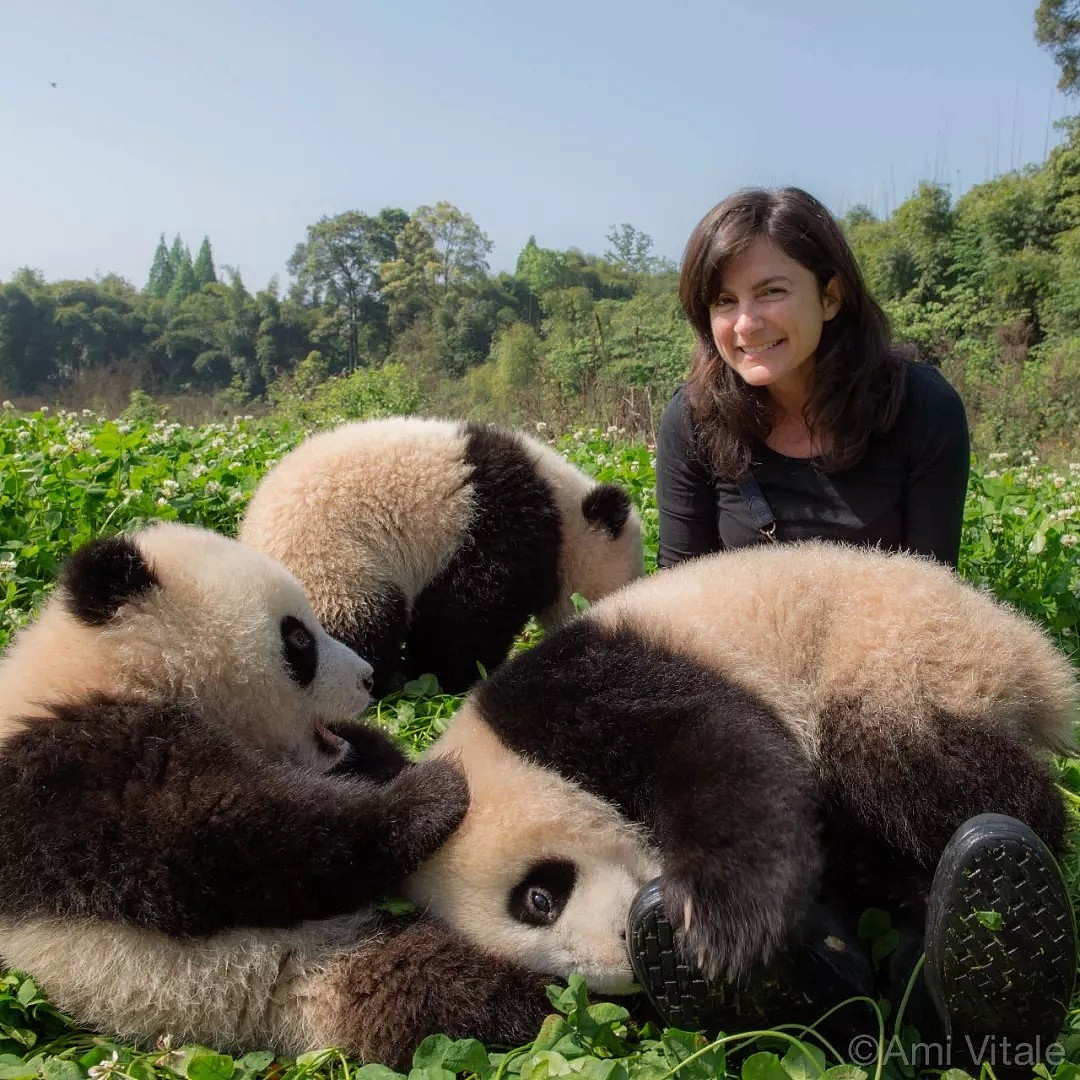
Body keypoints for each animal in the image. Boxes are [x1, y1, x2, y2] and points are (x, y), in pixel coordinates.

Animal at [0, 524, 561, 1071]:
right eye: (298, 639)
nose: (368, 678)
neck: (101, 668)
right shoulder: (70, 773)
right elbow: (217, 843)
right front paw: (433, 791)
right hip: (280, 974)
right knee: (435, 987)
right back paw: (542, 995)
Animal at [238, 412, 639, 691]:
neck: (562, 512)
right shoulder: (495, 527)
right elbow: (465, 617)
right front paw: (452, 677)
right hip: (332, 563)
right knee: (358, 626)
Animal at [406, 544, 1080, 1067]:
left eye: (537, 899)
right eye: (549, 978)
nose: (621, 966)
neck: (501, 749)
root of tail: (1034, 662)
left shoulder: (595, 685)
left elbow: (718, 749)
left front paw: (723, 924)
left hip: (899, 660)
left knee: (923, 774)